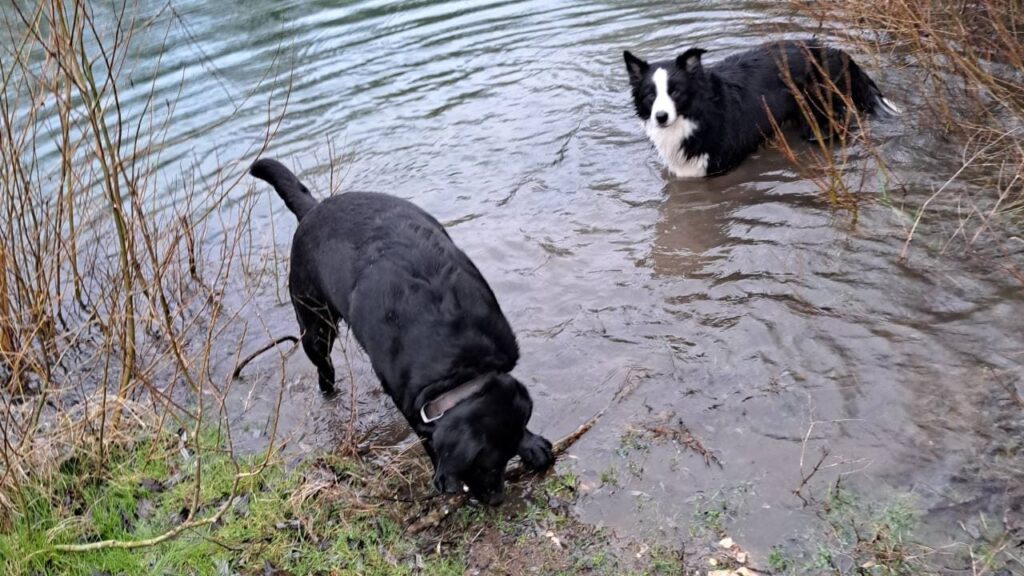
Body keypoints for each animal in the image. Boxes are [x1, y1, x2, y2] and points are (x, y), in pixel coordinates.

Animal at [247, 158, 552, 504]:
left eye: (506, 456)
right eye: (485, 466)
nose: (496, 498)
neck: (461, 361)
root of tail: (313, 208)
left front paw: (531, 444)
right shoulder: (408, 398)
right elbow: (426, 437)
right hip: (315, 326)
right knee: (324, 368)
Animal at [618, 39, 901, 176]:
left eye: (675, 91)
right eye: (650, 95)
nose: (661, 117)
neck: (695, 117)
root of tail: (833, 50)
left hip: (819, 118)